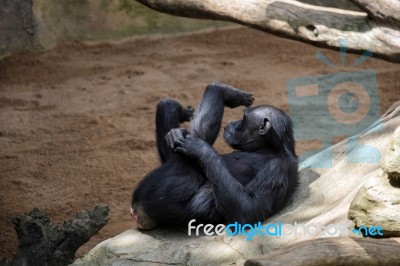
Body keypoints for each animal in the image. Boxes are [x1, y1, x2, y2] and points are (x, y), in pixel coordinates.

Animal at [130, 82, 298, 229]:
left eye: (243, 119)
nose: (233, 122)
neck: (267, 148)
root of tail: (137, 212)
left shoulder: (280, 168)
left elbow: (249, 209)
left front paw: (199, 147)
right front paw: (175, 133)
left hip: (158, 200)